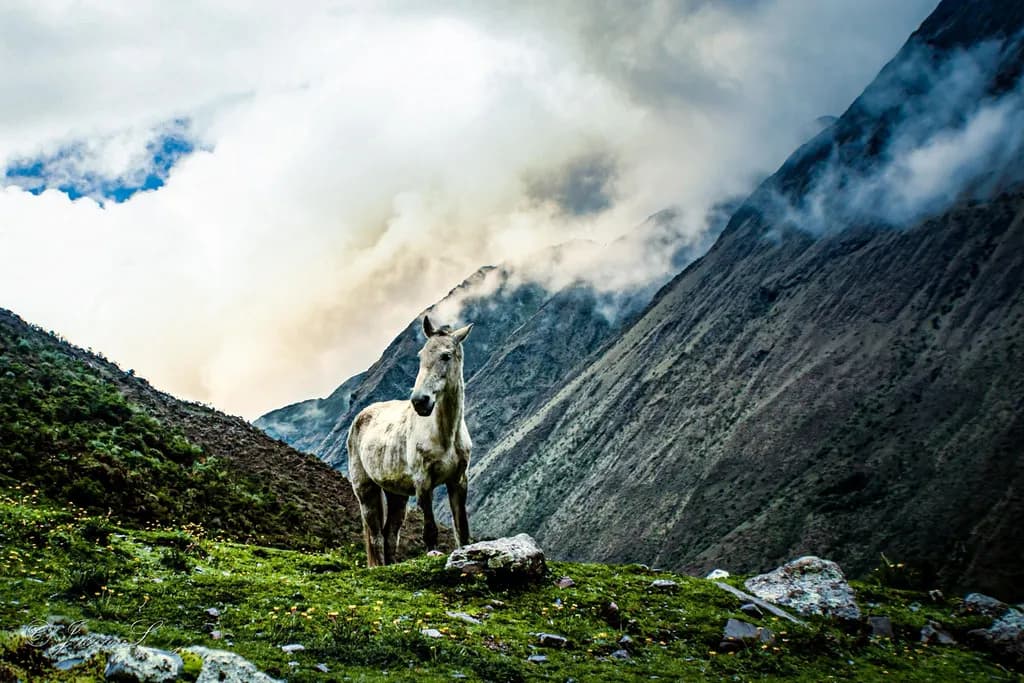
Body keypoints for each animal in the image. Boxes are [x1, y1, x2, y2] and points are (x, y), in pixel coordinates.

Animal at [346, 315, 473, 566]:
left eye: (445, 355)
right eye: (421, 356)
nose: (420, 401)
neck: (445, 435)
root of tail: (360, 417)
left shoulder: (458, 480)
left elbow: (461, 529)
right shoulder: (423, 481)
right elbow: (430, 529)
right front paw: (433, 553)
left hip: (397, 495)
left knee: (389, 535)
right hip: (366, 491)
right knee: (375, 537)